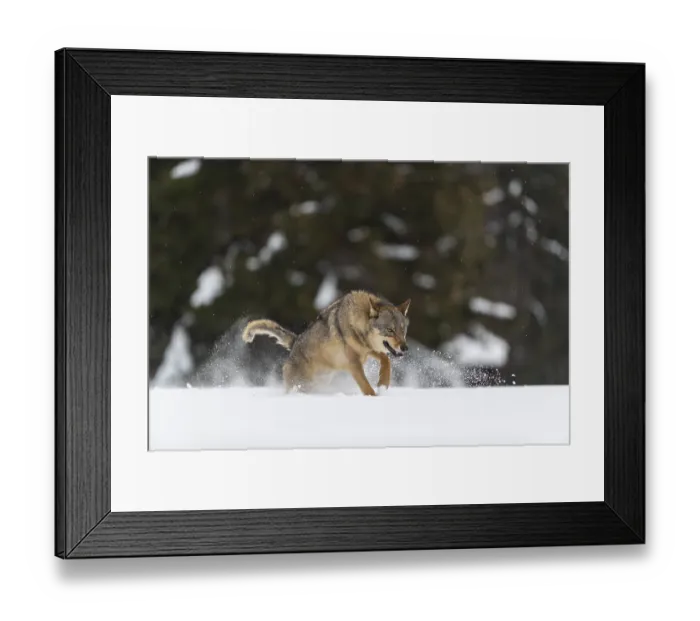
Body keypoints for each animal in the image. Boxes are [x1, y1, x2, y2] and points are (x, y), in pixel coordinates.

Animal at [242, 290, 410, 396]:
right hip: (302, 385)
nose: (405, 348)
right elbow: (367, 388)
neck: (356, 322)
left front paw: (383, 384)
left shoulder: (367, 352)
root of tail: (295, 341)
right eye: (390, 330)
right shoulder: (353, 364)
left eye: (403, 330)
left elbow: (386, 359)